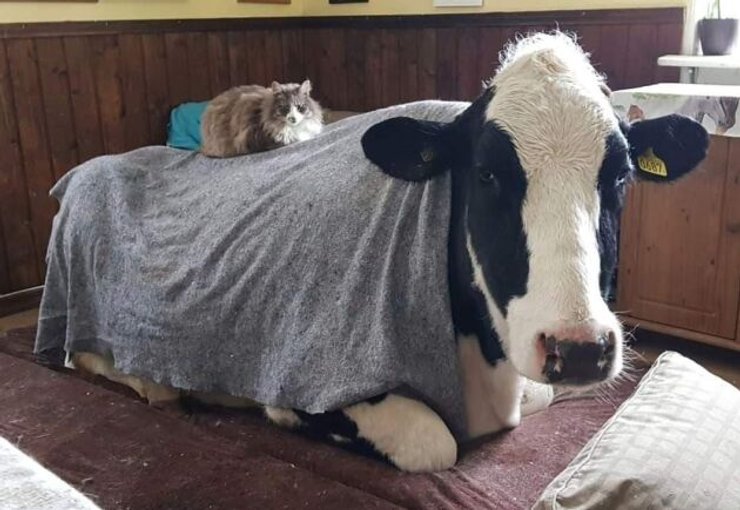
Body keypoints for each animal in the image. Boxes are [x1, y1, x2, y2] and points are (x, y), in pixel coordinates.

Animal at [68, 33, 709, 473]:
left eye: (621, 175)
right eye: (485, 174)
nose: (578, 350)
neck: (484, 363)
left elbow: (541, 394)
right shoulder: (308, 378)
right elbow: (432, 443)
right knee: (86, 358)